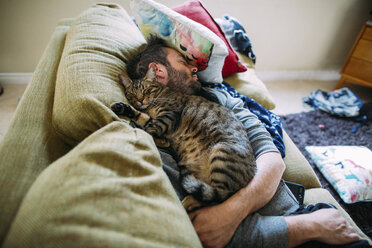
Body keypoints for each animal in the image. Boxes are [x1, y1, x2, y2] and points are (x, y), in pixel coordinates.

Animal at [110, 66, 256, 211]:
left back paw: (189, 202)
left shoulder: (170, 114)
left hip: (221, 154)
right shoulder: (150, 116)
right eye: (132, 94)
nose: (140, 100)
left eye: (146, 90)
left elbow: (149, 127)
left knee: (219, 197)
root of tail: (252, 173)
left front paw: (160, 139)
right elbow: (141, 117)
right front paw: (121, 107)